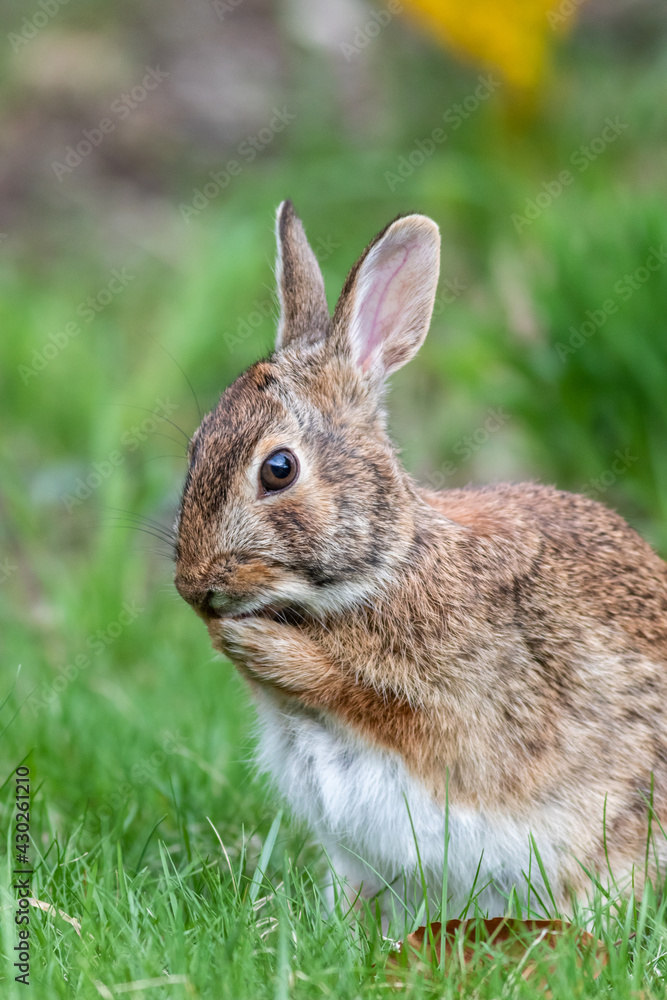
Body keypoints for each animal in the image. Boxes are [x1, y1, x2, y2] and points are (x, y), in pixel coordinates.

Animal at [174, 200, 667, 921]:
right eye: (195, 445)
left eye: (278, 469)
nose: (194, 588)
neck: (384, 566)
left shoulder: (459, 710)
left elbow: (367, 698)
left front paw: (255, 642)